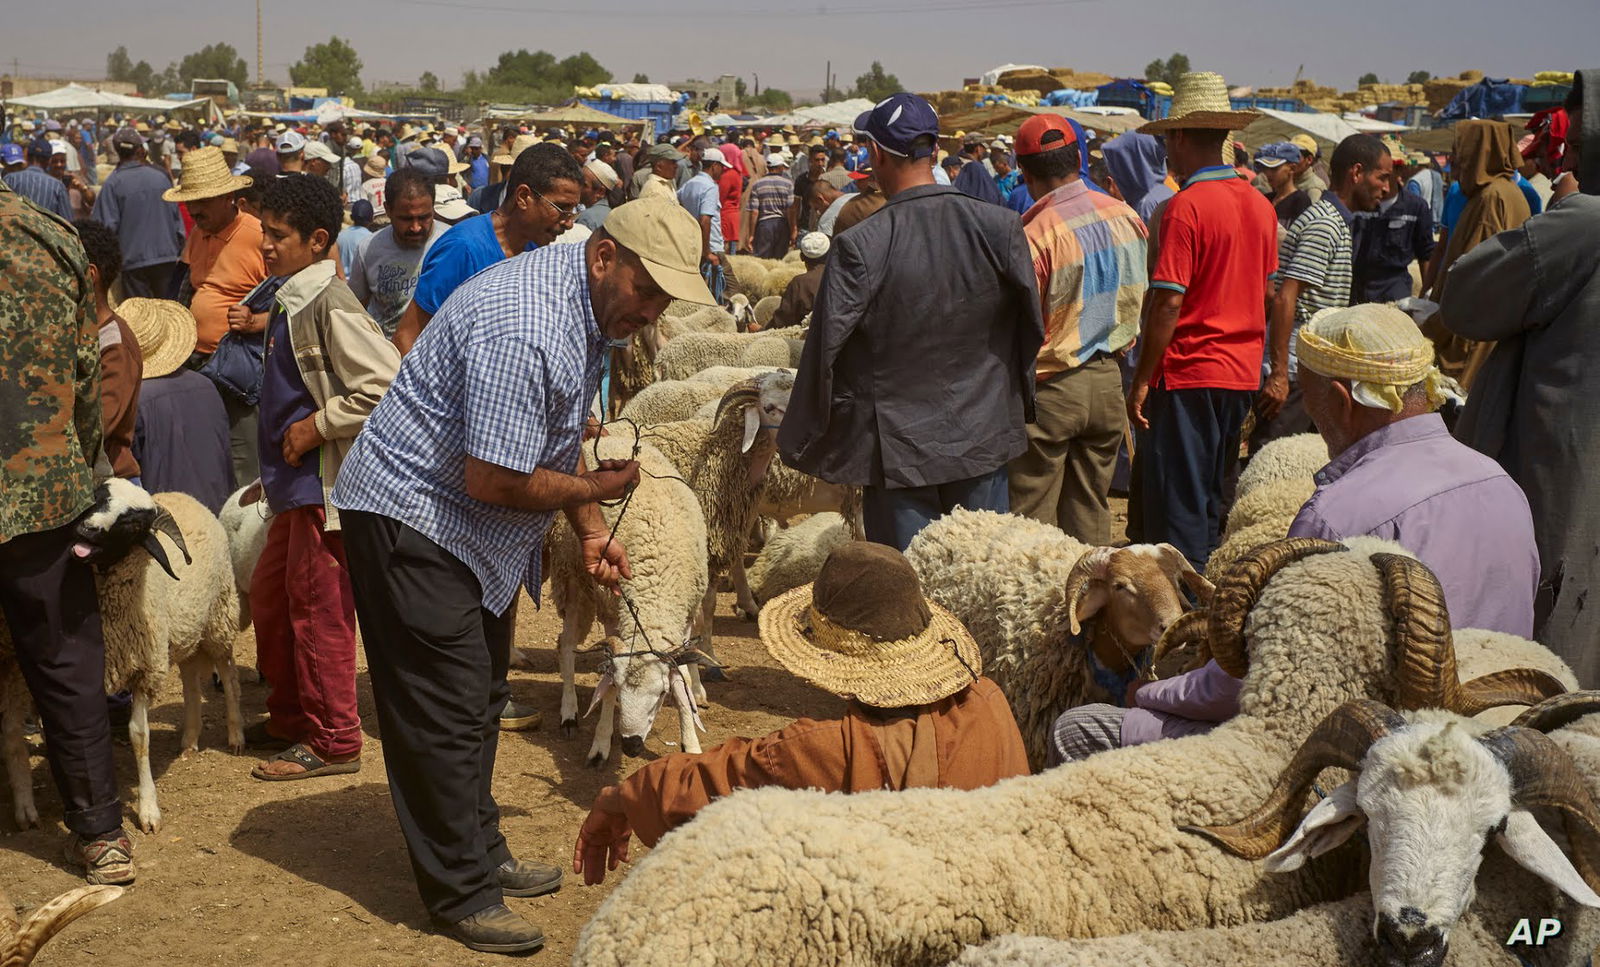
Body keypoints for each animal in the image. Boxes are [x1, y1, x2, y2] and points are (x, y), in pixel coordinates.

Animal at [1, 480, 244, 832]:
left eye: (134, 524)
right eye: (97, 498)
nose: (86, 529)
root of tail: (183, 494)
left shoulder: (144, 670)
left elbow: (139, 737)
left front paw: (148, 810)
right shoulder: (20, 672)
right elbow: (20, 736)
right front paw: (28, 805)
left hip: (219, 614)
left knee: (227, 672)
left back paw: (236, 735)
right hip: (182, 628)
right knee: (189, 678)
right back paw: (189, 739)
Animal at [544, 435, 707, 765]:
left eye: (661, 695)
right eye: (619, 690)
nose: (631, 745)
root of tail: (614, 436)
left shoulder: (682, 622)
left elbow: (682, 676)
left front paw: (691, 743)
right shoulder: (613, 614)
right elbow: (605, 685)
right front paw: (601, 744)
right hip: (574, 580)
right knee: (565, 644)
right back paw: (569, 712)